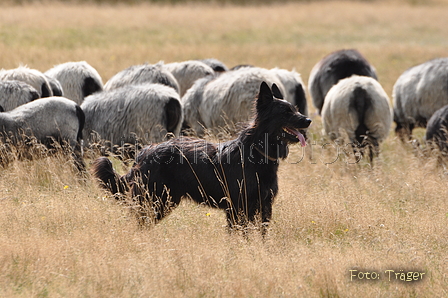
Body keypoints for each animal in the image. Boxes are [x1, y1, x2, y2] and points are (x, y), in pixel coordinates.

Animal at [91, 81, 312, 233]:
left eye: (295, 109)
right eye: (286, 112)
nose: (308, 120)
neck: (256, 153)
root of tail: (144, 153)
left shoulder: (264, 207)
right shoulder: (238, 209)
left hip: (164, 201)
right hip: (155, 201)